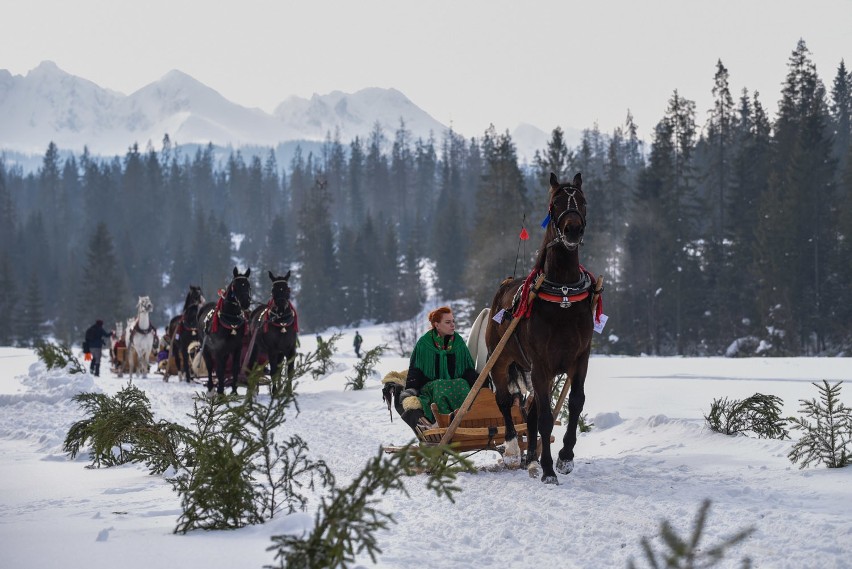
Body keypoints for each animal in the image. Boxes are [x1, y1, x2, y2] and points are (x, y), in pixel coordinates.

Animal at [486, 172, 600, 484]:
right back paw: (514, 449)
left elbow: (575, 403)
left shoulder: (580, 357)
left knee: (531, 412)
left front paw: (565, 457)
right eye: (555, 202)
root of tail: (505, 284)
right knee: (504, 400)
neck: (562, 292)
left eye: (583, 200)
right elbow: (547, 417)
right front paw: (549, 469)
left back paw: (530, 458)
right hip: (500, 358)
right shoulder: (541, 363)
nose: (572, 230)